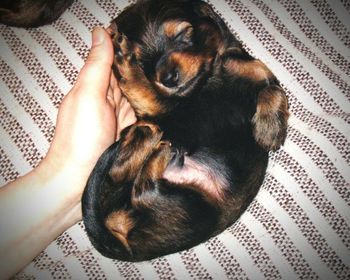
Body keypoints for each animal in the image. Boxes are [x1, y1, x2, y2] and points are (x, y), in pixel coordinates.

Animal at [80, 0, 290, 262]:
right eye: (142, 59)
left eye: (182, 33)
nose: (168, 78)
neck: (208, 77)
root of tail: (124, 244)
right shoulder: (170, 108)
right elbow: (149, 94)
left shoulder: (258, 71)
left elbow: (272, 89)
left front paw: (269, 130)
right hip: (187, 205)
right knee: (129, 178)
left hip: (192, 208)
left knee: (130, 179)